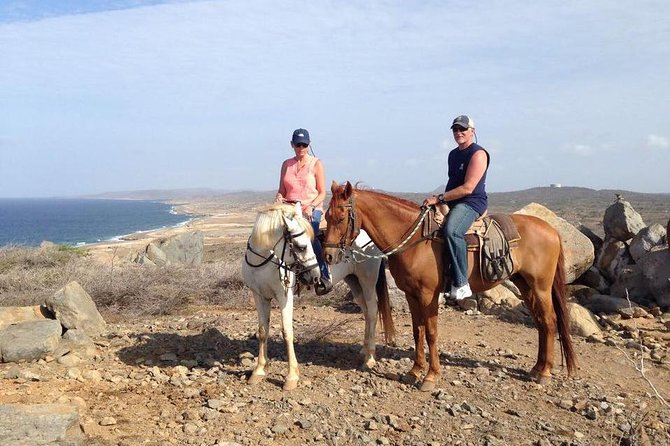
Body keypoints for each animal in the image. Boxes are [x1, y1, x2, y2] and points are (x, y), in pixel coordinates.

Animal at [243, 203, 396, 390]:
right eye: (301, 246)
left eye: (309, 243)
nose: (315, 276)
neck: (263, 262)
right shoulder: (259, 296)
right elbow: (263, 331)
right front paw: (258, 371)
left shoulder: (284, 297)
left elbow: (287, 332)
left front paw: (291, 377)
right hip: (353, 282)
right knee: (366, 312)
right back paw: (364, 349)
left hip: (367, 280)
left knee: (373, 311)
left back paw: (370, 358)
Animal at [326, 181, 576, 390]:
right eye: (327, 216)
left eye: (340, 217)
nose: (328, 256)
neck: (415, 240)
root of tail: (553, 230)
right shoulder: (411, 295)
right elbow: (417, 331)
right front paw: (414, 371)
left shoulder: (428, 295)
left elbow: (431, 333)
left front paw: (430, 376)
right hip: (525, 285)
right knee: (541, 323)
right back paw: (536, 369)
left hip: (541, 287)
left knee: (549, 321)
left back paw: (545, 372)